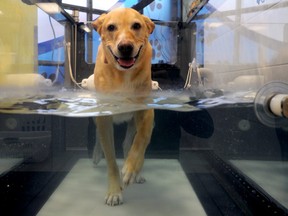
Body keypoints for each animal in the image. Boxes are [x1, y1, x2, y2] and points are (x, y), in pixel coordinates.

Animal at [92, 7, 155, 206]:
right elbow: (111, 159)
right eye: (111, 27)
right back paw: (96, 155)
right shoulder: (104, 116)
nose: (125, 47)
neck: (123, 75)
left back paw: (136, 171)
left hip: (133, 120)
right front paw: (114, 191)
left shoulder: (146, 110)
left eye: (137, 25)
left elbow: (141, 139)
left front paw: (131, 168)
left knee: (128, 142)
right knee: (99, 137)